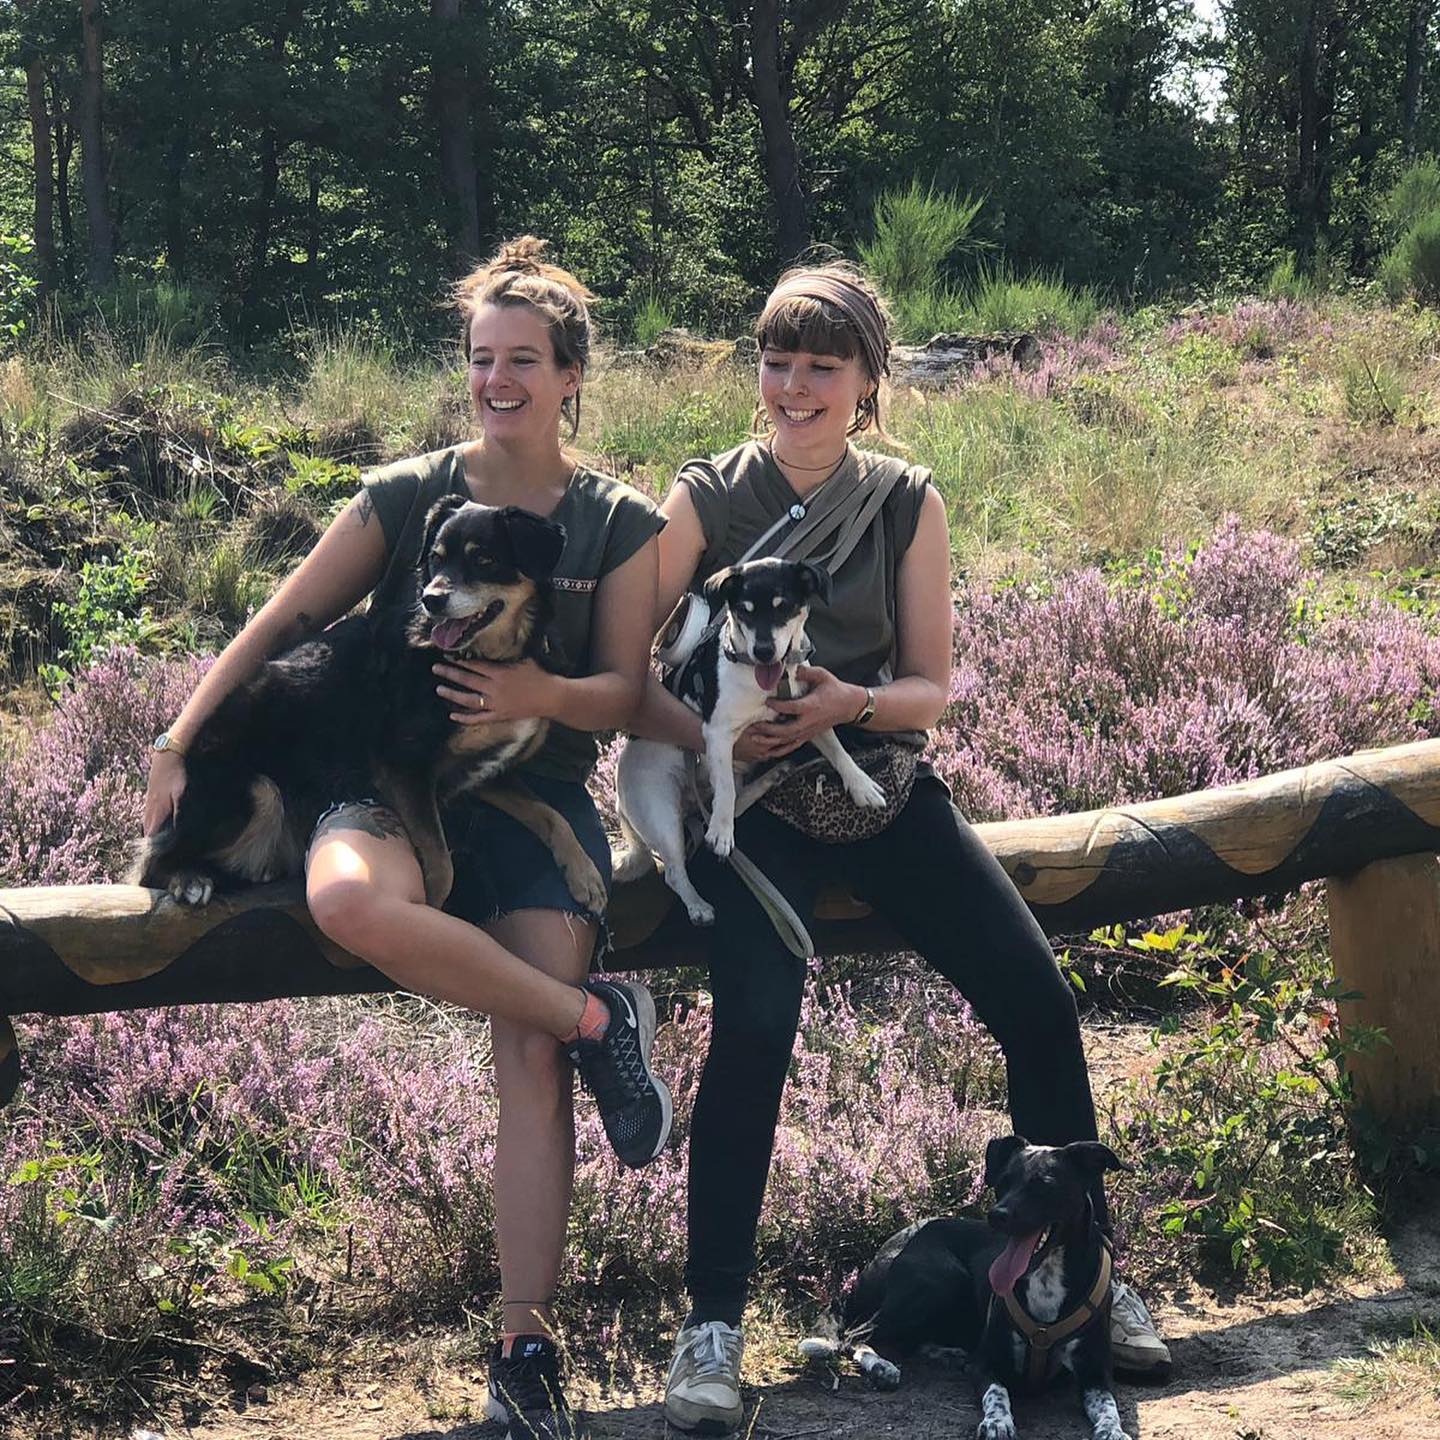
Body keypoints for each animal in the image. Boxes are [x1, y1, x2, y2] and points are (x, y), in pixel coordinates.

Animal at [130, 495, 606, 915]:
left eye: (484, 559)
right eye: (436, 559)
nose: (432, 599)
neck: (485, 658)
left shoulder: (486, 772)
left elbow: (550, 814)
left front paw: (584, 874)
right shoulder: (405, 768)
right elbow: (441, 863)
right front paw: (432, 908)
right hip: (256, 791)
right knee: (152, 864)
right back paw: (190, 880)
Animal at [613, 557, 886, 925]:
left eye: (784, 607)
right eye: (744, 611)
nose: (764, 651)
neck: (771, 683)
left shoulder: (812, 714)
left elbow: (840, 753)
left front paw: (861, 786)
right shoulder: (717, 734)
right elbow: (725, 790)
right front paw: (721, 832)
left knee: (731, 802)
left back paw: (770, 778)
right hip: (660, 809)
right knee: (676, 869)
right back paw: (698, 903)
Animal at [799, 1136, 1133, 1440]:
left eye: (1044, 1184)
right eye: (1003, 1182)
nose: (997, 1215)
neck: (1046, 1277)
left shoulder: (1096, 1373)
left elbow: (1108, 1405)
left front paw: (1112, 1430)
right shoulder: (987, 1363)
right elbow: (997, 1392)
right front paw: (997, 1421)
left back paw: (947, 1354)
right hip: (943, 1280)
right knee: (856, 1333)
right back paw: (882, 1366)